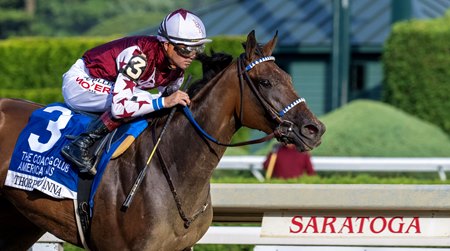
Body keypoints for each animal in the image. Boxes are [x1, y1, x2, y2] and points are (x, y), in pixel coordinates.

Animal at [0, 31, 324, 251]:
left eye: (289, 78)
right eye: (265, 82)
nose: (314, 128)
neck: (172, 165)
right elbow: (121, 102)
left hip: (19, 223)